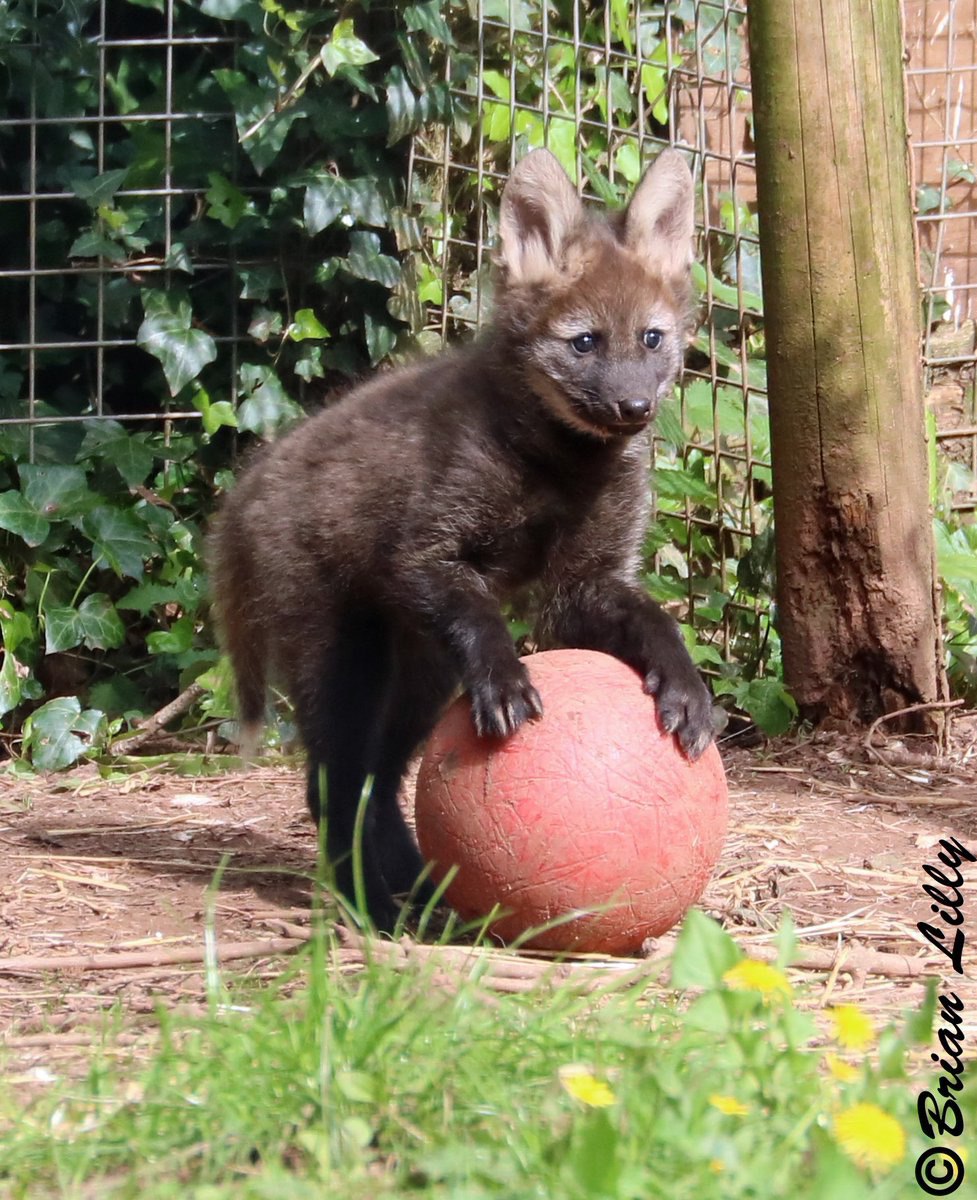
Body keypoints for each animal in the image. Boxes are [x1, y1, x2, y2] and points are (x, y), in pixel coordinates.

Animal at [210, 147, 715, 931]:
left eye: (651, 339)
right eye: (585, 342)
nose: (634, 406)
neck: (560, 467)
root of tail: (245, 488)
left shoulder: (582, 586)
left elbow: (652, 619)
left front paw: (685, 687)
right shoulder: (427, 554)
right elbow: (482, 623)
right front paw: (506, 684)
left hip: (419, 679)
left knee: (376, 786)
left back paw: (419, 895)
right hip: (344, 663)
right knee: (332, 788)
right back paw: (374, 909)